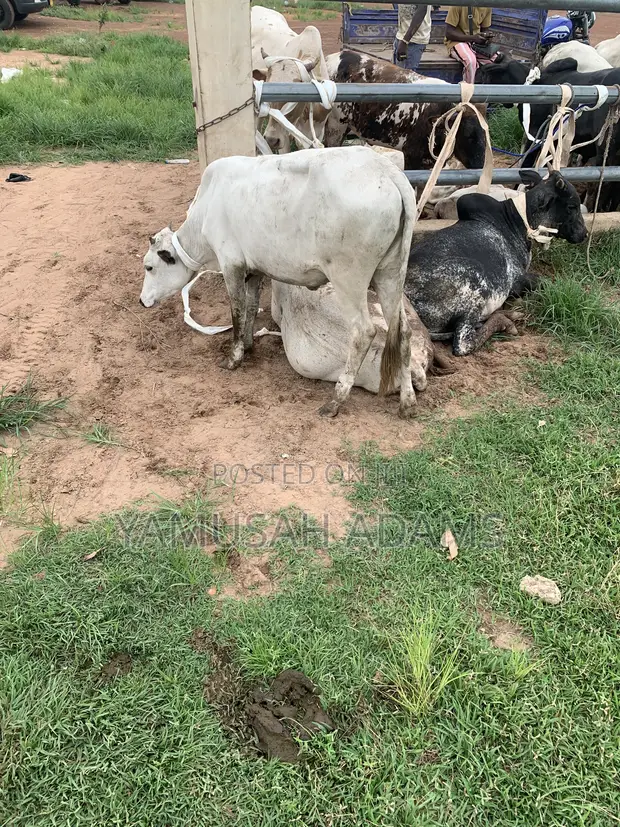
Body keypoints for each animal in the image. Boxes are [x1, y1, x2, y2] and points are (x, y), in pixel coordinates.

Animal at [140, 146, 418, 419]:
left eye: (149, 267)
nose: (142, 301)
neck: (206, 209)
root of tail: (385, 171)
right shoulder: (254, 269)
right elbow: (251, 308)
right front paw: (248, 345)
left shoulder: (231, 264)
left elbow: (237, 311)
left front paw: (233, 358)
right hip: (390, 275)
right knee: (403, 332)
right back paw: (407, 402)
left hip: (349, 279)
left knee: (363, 331)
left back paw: (336, 400)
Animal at [404, 170, 587, 356]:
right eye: (572, 206)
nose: (584, 234)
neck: (517, 223)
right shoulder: (516, 279)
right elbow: (547, 282)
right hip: (474, 284)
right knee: (463, 343)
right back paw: (505, 320)